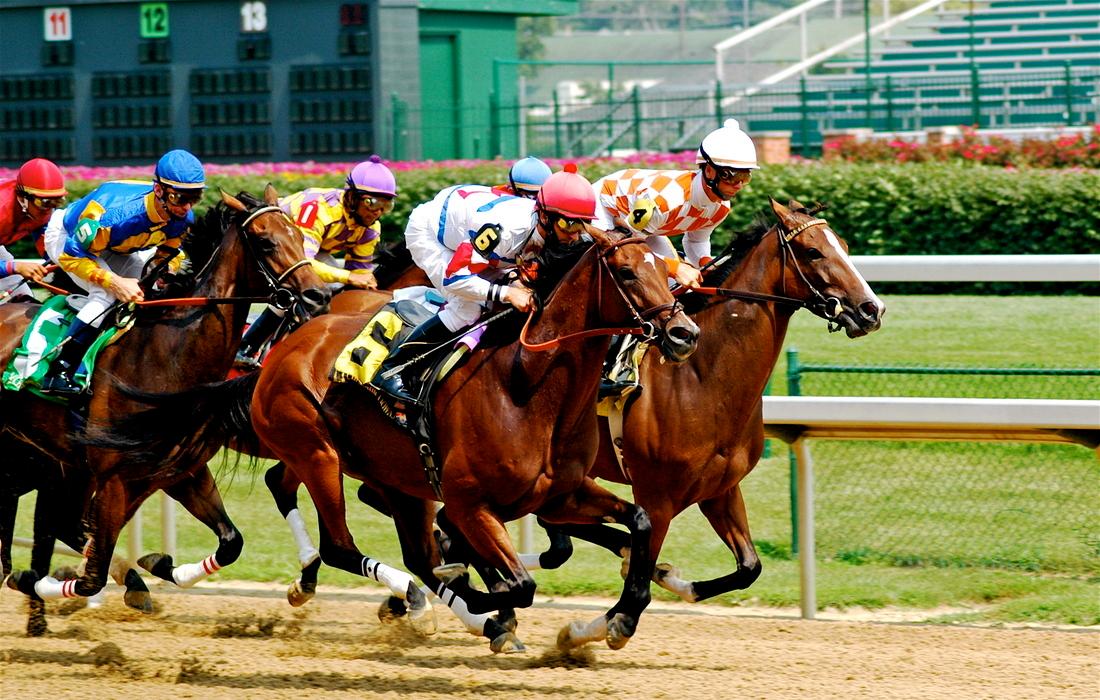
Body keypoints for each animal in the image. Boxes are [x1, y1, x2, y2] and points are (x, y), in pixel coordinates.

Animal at [1, 187, 325, 616]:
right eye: (265, 241)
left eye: (300, 237)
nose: (318, 295)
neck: (167, 354)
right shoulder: (115, 479)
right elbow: (90, 577)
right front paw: (28, 580)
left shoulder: (180, 472)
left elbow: (231, 542)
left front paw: (159, 564)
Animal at [523, 197, 884, 607]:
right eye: (813, 251)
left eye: (846, 246)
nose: (872, 310)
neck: (702, 377)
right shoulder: (657, 498)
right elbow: (636, 586)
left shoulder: (721, 490)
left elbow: (749, 567)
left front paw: (675, 580)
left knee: (555, 526)